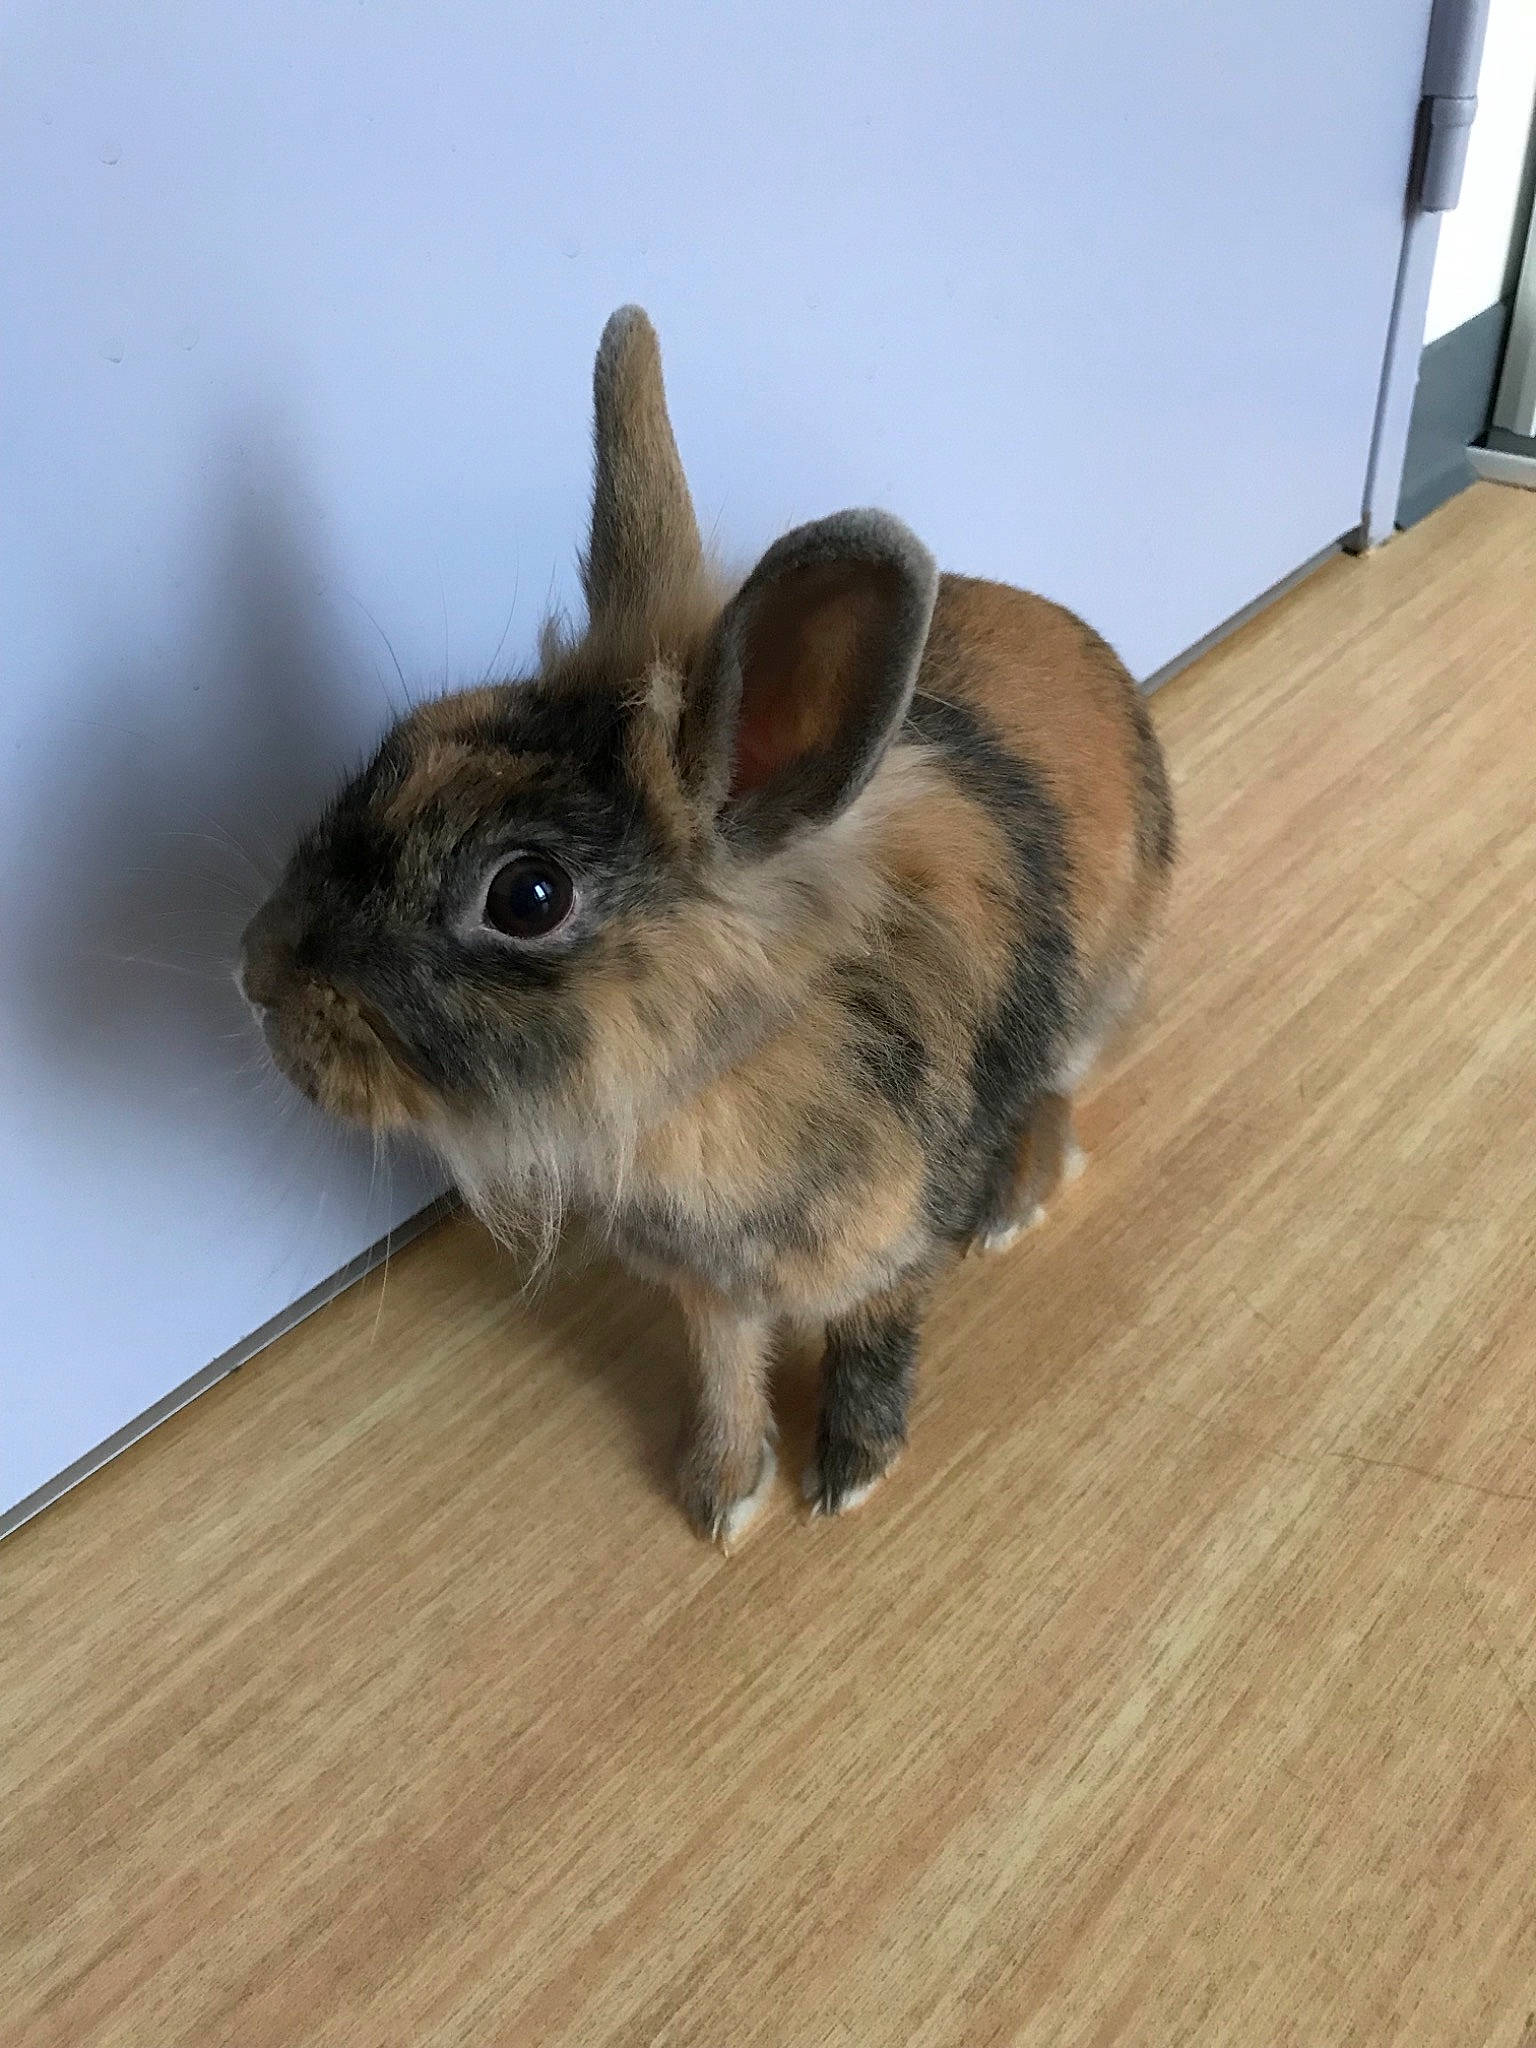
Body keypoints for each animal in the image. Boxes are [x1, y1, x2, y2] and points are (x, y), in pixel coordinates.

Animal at [240, 306, 1174, 1544]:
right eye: (416, 735)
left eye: (527, 896)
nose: (254, 970)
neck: (710, 1078)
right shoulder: (707, 1285)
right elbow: (723, 1365)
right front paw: (722, 1492)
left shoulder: (887, 1246)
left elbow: (878, 1337)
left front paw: (850, 1471)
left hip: (1093, 1001)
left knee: (1062, 1096)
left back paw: (1011, 1203)